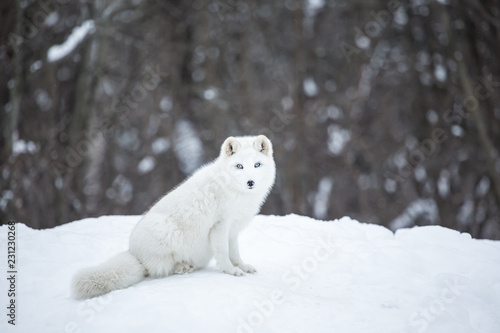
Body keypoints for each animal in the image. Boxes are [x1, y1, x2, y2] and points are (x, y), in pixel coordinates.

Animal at [71, 134, 276, 298]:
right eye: (239, 166)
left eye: (257, 165)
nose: (250, 182)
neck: (234, 191)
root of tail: (134, 254)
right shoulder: (220, 226)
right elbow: (224, 253)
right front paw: (230, 271)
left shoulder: (233, 230)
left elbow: (235, 253)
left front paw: (242, 267)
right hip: (168, 231)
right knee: (159, 270)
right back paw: (181, 267)